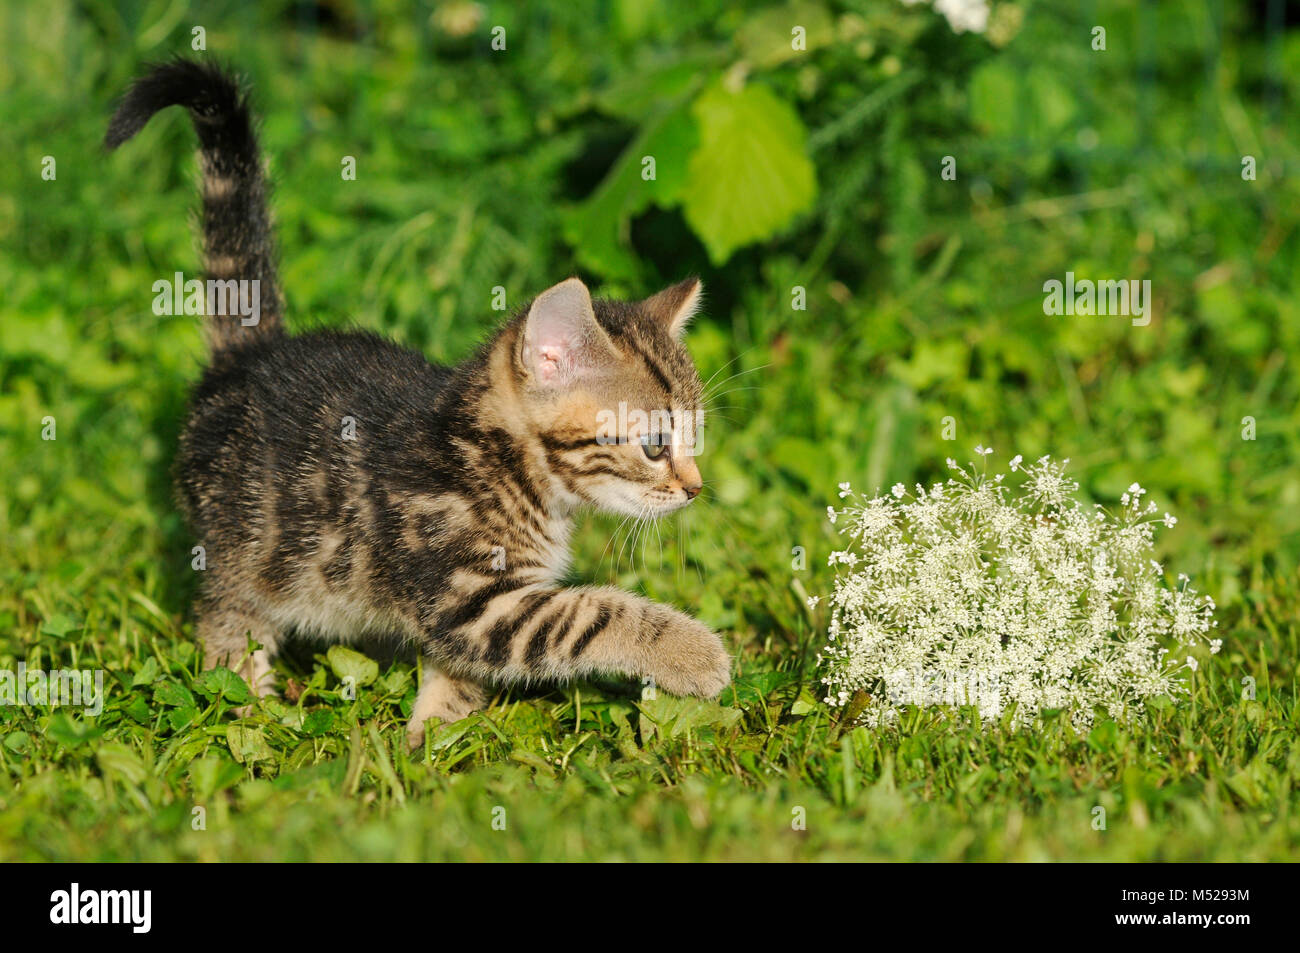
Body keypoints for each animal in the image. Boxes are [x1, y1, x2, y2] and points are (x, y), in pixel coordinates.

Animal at [106, 59, 738, 748]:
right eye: (654, 446)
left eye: (694, 440)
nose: (695, 488)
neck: (496, 464)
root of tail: (247, 354)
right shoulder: (471, 597)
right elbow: (590, 612)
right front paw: (693, 653)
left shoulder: (468, 614)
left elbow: (456, 672)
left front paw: (432, 739)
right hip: (240, 549)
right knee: (227, 624)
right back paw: (250, 708)